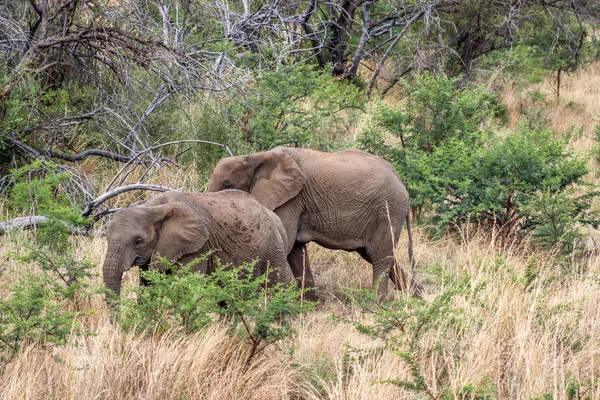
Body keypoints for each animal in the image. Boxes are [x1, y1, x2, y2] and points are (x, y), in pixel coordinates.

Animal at [102, 190, 290, 296]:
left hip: (272, 248)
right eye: (106, 237)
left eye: (138, 241)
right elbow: (147, 287)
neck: (152, 207)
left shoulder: (197, 248)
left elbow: (186, 286)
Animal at [209, 147, 424, 300]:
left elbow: (286, 244)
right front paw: (310, 304)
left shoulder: (291, 200)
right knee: (378, 254)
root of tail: (402, 184)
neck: (255, 157)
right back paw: (419, 296)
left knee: (379, 255)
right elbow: (296, 250)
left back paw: (379, 302)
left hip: (387, 210)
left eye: (227, 184)